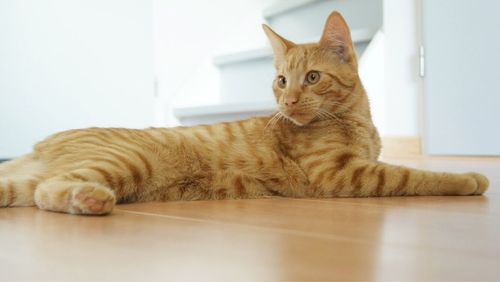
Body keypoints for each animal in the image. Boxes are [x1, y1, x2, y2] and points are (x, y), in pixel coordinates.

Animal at [0, 10, 488, 214]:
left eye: (311, 77)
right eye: (281, 80)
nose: (287, 103)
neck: (356, 120)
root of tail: (40, 143)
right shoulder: (341, 174)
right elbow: (413, 175)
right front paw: (469, 178)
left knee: (32, 190)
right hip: (123, 162)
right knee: (49, 191)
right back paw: (92, 200)